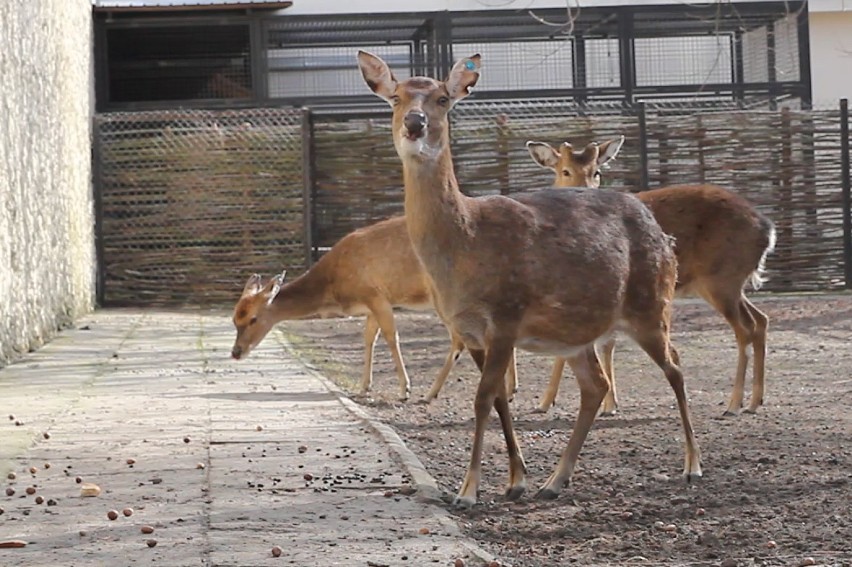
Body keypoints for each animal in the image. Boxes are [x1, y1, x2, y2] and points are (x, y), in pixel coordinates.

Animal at [228, 214, 520, 404]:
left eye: (252, 318)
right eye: (234, 319)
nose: (235, 352)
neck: (335, 284)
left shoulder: (376, 295)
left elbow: (391, 337)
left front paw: (404, 389)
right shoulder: (370, 306)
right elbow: (369, 338)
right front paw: (363, 387)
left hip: (445, 296)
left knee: (459, 339)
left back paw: (430, 393)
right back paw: (510, 389)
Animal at [356, 50, 704, 510]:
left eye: (443, 99)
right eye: (395, 97)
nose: (415, 123)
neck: (465, 245)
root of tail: (665, 236)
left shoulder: (505, 315)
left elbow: (482, 399)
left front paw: (468, 491)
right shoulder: (469, 331)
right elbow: (500, 398)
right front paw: (516, 480)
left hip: (651, 304)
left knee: (676, 366)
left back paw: (692, 466)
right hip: (577, 330)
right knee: (596, 384)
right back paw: (555, 480)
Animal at [524, 136, 780, 418]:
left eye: (596, 172)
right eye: (565, 171)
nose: (584, 192)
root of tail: (767, 230)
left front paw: (546, 402)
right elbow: (602, 344)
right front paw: (607, 404)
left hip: (722, 280)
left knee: (745, 329)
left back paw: (734, 404)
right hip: (725, 284)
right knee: (760, 320)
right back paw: (755, 401)